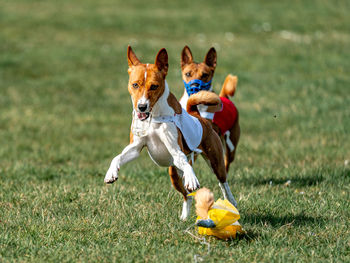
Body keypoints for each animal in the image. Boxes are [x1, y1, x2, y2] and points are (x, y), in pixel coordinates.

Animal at [180, 46, 241, 174]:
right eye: (188, 74)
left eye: (205, 75)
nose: (194, 87)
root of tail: (224, 96)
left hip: (230, 145)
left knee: (226, 161)